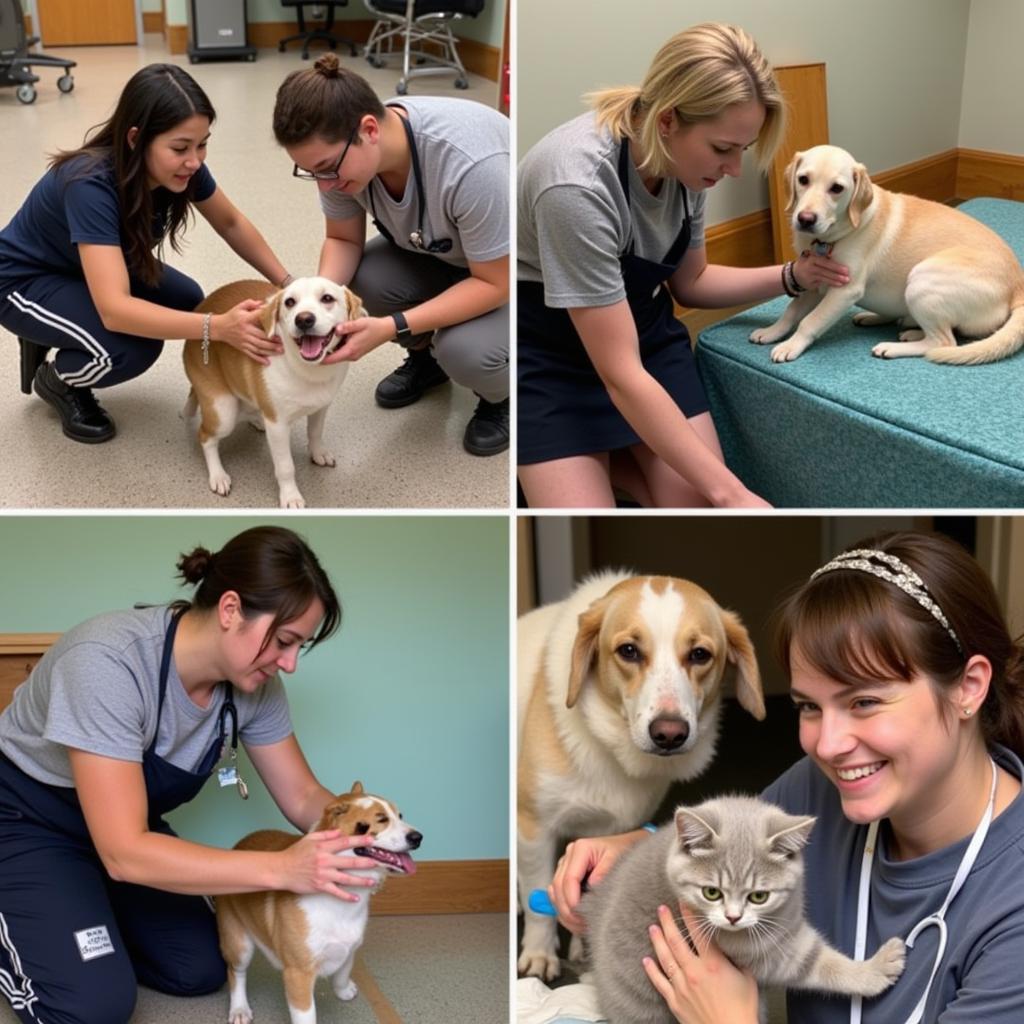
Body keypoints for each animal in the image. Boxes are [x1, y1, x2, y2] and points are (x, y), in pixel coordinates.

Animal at [182, 276, 366, 507]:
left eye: (327, 298)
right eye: (289, 302)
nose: (303, 319)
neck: (308, 369)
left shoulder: (321, 408)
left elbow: (315, 433)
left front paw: (318, 453)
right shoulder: (278, 426)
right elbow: (285, 467)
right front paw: (290, 496)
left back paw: (256, 420)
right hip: (223, 411)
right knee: (206, 437)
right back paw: (218, 475)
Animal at [216, 782, 419, 1024]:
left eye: (400, 816)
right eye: (381, 819)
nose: (418, 837)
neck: (344, 902)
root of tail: (236, 846)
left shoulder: (350, 948)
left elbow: (342, 972)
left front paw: (343, 990)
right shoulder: (298, 974)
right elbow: (306, 1015)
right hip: (240, 945)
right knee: (235, 973)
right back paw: (239, 1009)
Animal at [516, 573, 765, 978]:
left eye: (700, 654)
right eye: (629, 651)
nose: (669, 734)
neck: (609, 745)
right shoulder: (533, 826)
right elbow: (538, 901)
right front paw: (540, 953)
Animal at [581, 798, 909, 1024]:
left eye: (759, 896)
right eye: (711, 892)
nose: (733, 917)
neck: (778, 919)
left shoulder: (785, 926)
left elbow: (817, 954)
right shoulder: (760, 953)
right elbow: (815, 965)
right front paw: (876, 970)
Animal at [749, 145, 1024, 364]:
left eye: (837, 188)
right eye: (803, 179)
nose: (805, 219)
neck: (831, 238)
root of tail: (1017, 289)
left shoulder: (845, 290)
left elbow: (810, 321)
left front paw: (790, 345)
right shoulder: (813, 282)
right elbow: (791, 311)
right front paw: (772, 331)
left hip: (922, 278)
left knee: (943, 341)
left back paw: (893, 346)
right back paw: (892, 323)